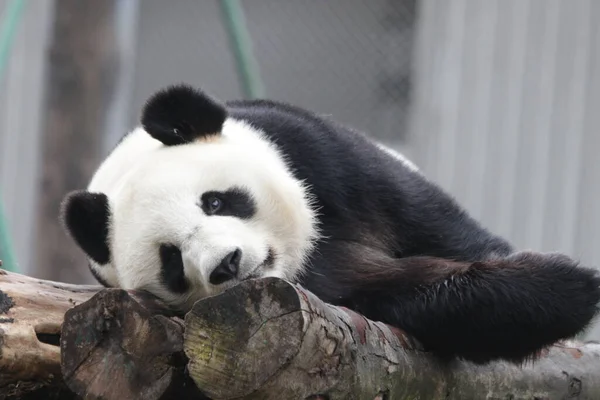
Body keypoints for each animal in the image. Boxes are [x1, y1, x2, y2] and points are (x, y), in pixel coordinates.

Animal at [59, 84, 600, 366]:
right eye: (171, 260)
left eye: (215, 201)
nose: (227, 265)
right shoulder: (334, 295)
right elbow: (406, 296)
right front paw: (569, 289)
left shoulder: (322, 158)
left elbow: (440, 227)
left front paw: (566, 282)